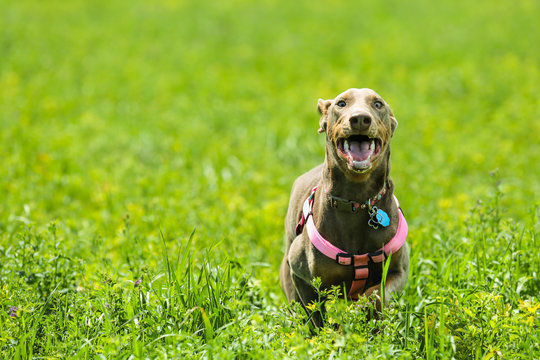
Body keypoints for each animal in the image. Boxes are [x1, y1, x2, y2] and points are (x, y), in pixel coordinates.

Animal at [278, 88, 410, 326]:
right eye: (341, 103)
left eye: (378, 104)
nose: (360, 119)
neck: (356, 201)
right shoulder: (301, 276)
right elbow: (314, 318)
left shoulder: (398, 271)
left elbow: (375, 296)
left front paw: (358, 315)